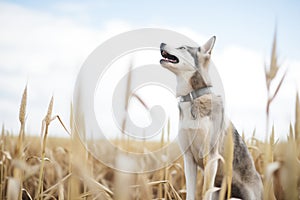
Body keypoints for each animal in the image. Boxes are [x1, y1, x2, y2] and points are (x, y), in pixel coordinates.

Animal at [159, 36, 262, 200]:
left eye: (182, 47)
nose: (161, 43)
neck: (193, 97)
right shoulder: (188, 158)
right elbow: (190, 193)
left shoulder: (211, 157)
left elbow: (205, 192)